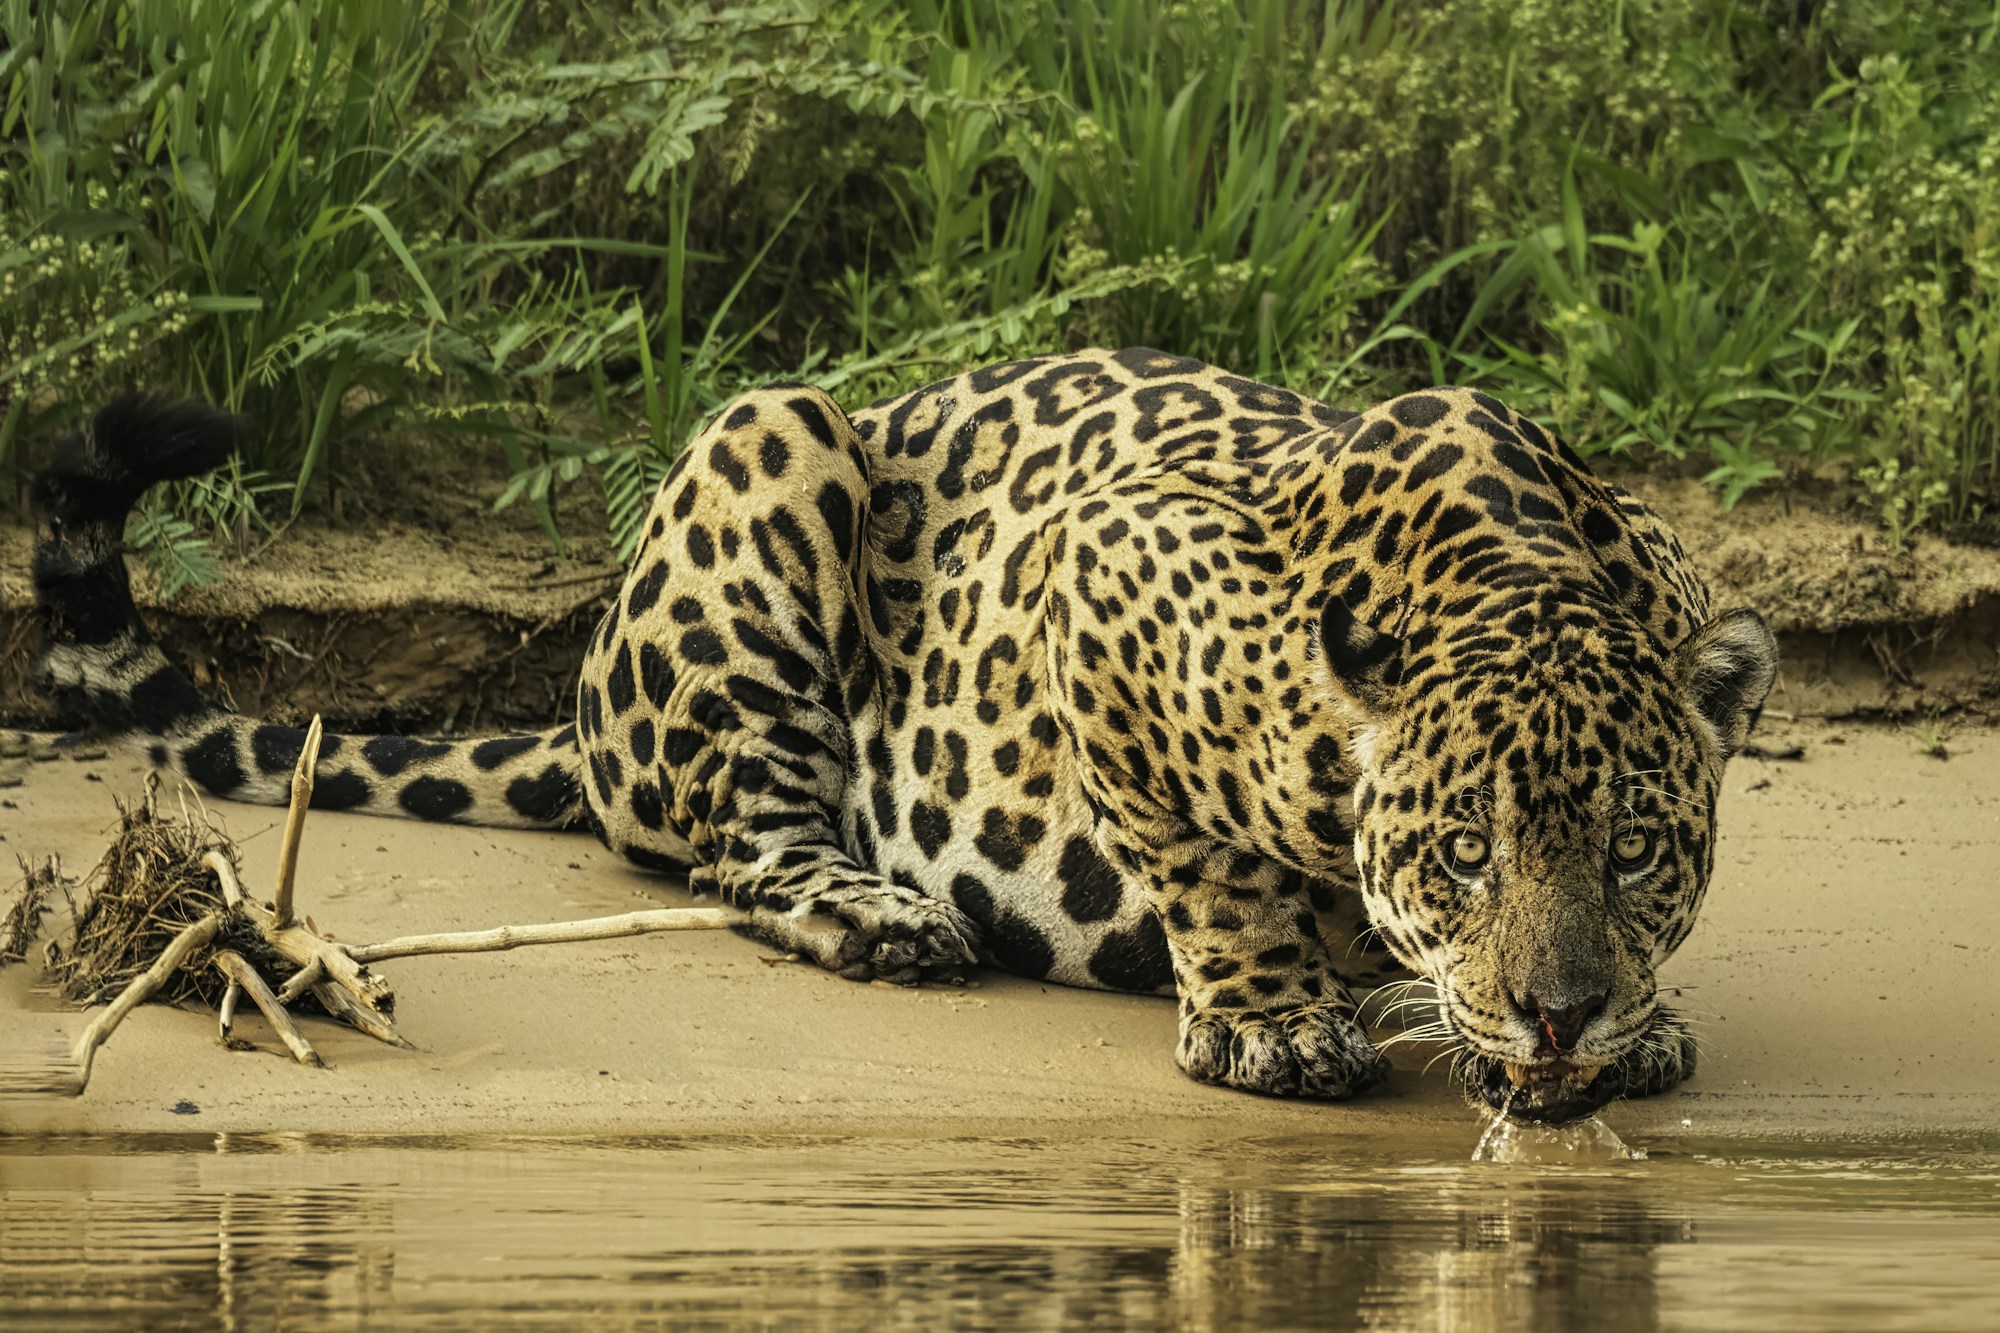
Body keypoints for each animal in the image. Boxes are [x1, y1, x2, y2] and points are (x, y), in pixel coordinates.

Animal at [30, 349, 1777, 1123]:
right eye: (1464, 853)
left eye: (1637, 850)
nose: (1557, 1015)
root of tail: (586, 697)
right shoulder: (1106, 565)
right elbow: (1208, 865)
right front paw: (1275, 1020)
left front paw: (1638, 1023)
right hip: (770, 443)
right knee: (741, 848)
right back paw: (886, 915)